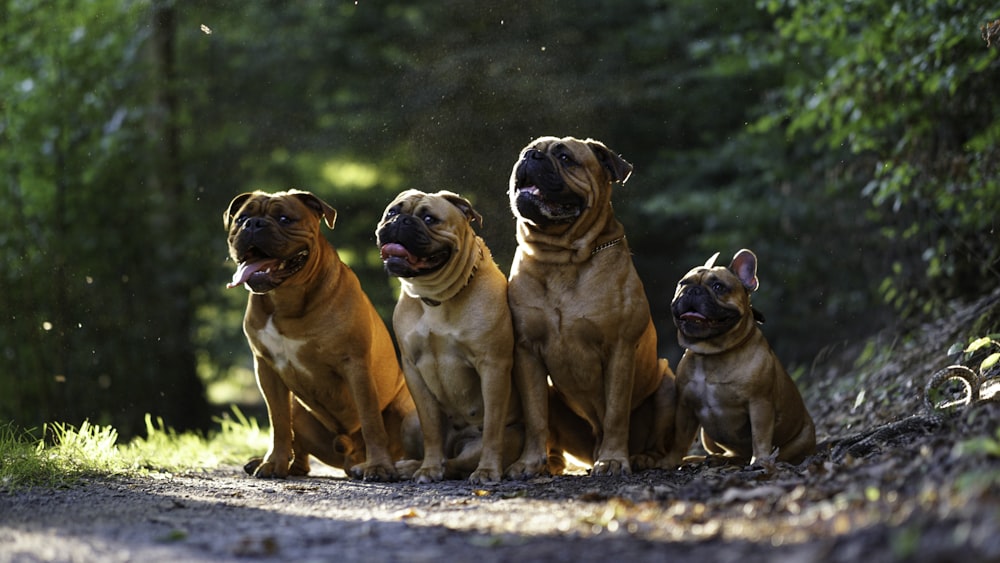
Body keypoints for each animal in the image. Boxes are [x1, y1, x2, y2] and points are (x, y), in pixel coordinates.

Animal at [225, 189, 420, 480]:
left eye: (284, 219)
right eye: (241, 218)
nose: (253, 224)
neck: (285, 300)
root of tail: (350, 458)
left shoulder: (355, 366)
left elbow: (371, 421)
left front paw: (378, 466)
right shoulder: (266, 369)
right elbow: (278, 422)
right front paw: (273, 463)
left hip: (404, 410)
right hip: (298, 408)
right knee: (299, 452)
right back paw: (279, 464)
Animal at [376, 189, 524, 484]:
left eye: (429, 219)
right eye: (392, 212)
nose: (401, 221)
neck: (436, 297)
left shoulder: (493, 366)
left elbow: (492, 428)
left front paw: (487, 470)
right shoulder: (413, 368)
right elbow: (432, 428)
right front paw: (429, 468)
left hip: (510, 436)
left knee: (459, 463)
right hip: (410, 423)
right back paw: (411, 466)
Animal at [504, 135, 676, 476]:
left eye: (565, 158)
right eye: (526, 151)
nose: (531, 156)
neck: (560, 258)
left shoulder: (619, 349)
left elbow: (615, 412)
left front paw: (613, 459)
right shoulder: (527, 352)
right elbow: (535, 414)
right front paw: (529, 462)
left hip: (667, 383)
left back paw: (642, 457)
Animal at [664, 250, 812, 468]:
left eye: (718, 287)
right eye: (683, 283)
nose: (692, 291)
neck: (711, 353)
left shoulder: (759, 404)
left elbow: (760, 435)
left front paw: (759, 460)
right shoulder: (685, 407)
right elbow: (680, 438)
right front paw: (670, 461)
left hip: (799, 440)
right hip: (707, 437)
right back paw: (710, 458)